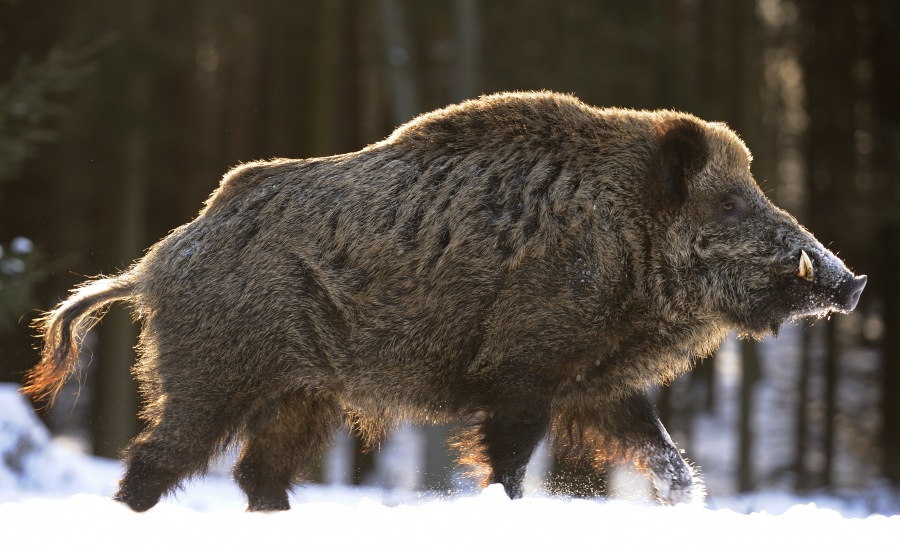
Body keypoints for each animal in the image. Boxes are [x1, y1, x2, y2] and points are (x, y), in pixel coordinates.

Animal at [23, 91, 867, 511]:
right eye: (729, 201)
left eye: (752, 188)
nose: (852, 281)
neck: (623, 241)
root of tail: (153, 263)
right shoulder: (523, 369)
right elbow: (511, 463)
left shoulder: (600, 383)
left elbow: (671, 460)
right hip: (216, 372)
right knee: (156, 460)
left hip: (302, 394)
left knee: (259, 473)